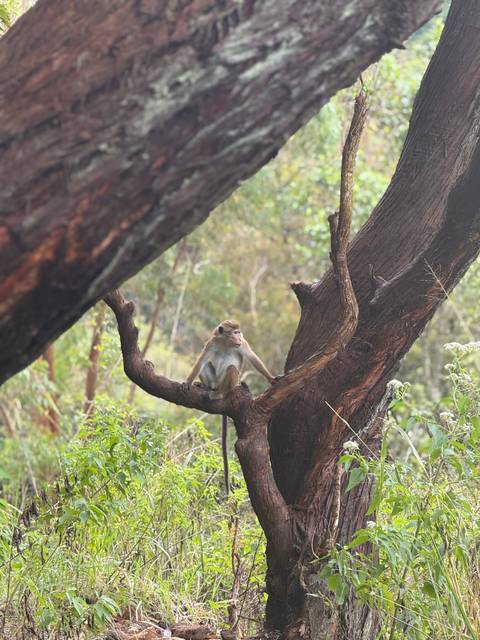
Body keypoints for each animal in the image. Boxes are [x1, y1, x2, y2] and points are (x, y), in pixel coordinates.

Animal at [186, 320, 275, 495]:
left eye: (239, 333)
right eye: (235, 332)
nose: (239, 336)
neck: (226, 343)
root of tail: (217, 387)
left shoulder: (242, 344)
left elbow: (253, 358)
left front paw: (271, 379)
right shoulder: (212, 342)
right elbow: (201, 360)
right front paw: (187, 382)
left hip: (230, 383)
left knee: (232, 369)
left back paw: (220, 394)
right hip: (214, 380)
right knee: (206, 364)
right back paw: (206, 387)